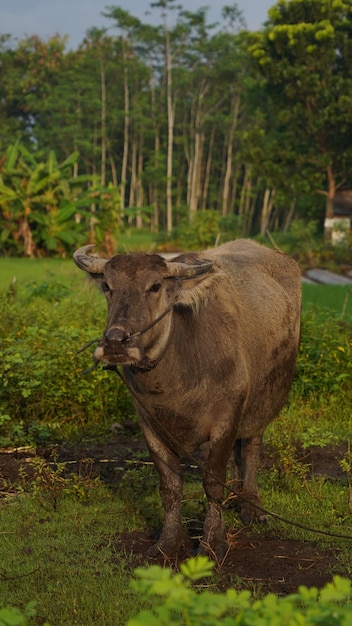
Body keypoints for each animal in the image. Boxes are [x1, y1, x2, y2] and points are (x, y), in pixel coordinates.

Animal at [73, 238, 302, 556]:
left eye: (155, 286)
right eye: (108, 286)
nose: (116, 342)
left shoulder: (226, 418)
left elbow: (212, 482)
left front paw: (212, 541)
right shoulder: (149, 424)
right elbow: (170, 487)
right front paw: (168, 542)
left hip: (262, 402)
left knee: (251, 447)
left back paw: (251, 505)